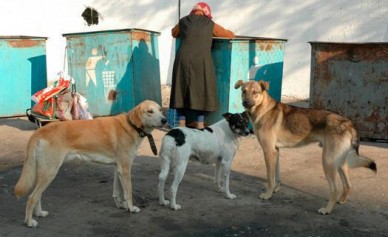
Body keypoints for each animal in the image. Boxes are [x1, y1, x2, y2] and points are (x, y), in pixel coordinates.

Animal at [14, 99, 166, 227]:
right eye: (150, 111)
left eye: (160, 109)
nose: (164, 120)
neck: (132, 125)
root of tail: (41, 130)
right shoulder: (125, 168)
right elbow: (128, 191)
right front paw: (131, 208)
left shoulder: (118, 168)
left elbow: (117, 191)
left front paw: (121, 205)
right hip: (50, 172)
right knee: (32, 197)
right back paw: (29, 222)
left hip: (43, 172)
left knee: (37, 195)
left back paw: (39, 213)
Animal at [233, 79, 376, 215]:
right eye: (244, 91)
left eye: (255, 92)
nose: (245, 103)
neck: (263, 109)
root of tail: (349, 123)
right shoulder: (275, 151)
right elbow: (276, 176)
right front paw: (275, 190)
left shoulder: (268, 152)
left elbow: (269, 178)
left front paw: (267, 194)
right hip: (339, 162)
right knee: (348, 184)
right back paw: (341, 201)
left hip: (328, 161)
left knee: (335, 189)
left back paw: (327, 210)